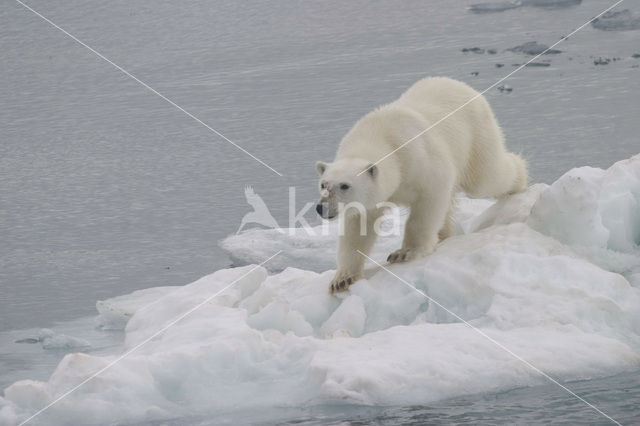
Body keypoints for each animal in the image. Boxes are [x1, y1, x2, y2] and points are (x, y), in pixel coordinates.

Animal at [316, 76, 528, 292]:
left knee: (486, 178)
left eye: (344, 185)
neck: (379, 137)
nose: (321, 208)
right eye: (323, 184)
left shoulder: (419, 159)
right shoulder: (372, 198)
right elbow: (358, 228)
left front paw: (405, 252)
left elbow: (429, 201)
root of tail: (458, 83)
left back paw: (520, 179)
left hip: (476, 135)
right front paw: (342, 279)